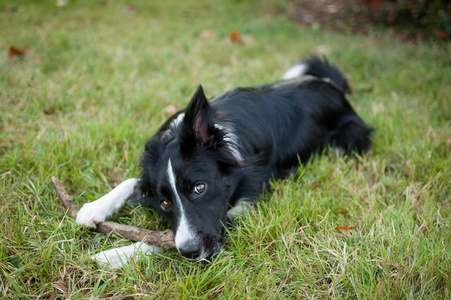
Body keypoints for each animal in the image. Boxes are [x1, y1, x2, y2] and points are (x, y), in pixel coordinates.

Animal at [76, 55, 374, 264]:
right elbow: (132, 181)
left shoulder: (245, 204)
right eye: (164, 203)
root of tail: (333, 86)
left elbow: (171, 238)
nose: (189, 252)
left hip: (349, 140)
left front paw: (116, 255)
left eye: (200, 188)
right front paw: (93, 208)